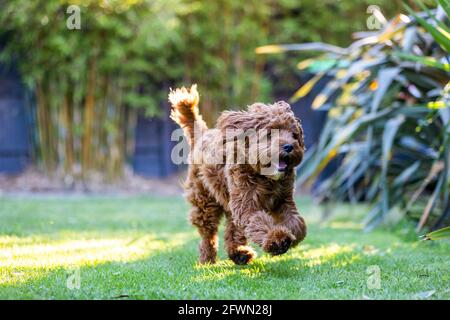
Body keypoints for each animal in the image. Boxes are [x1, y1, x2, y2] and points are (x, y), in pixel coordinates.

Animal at [168, 85, 306, 264]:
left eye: (293, 134)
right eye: (269, 134)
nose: (289, 146)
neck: (264, 177)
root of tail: (203, 134)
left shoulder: (283, 200)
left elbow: (297, 222)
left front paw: (292, 235)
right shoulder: (246, 204)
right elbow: (258, 221)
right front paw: (278, 240)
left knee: (232, 230)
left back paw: (239, 254)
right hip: (205, 200)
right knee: (208, 232)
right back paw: (207, 258)